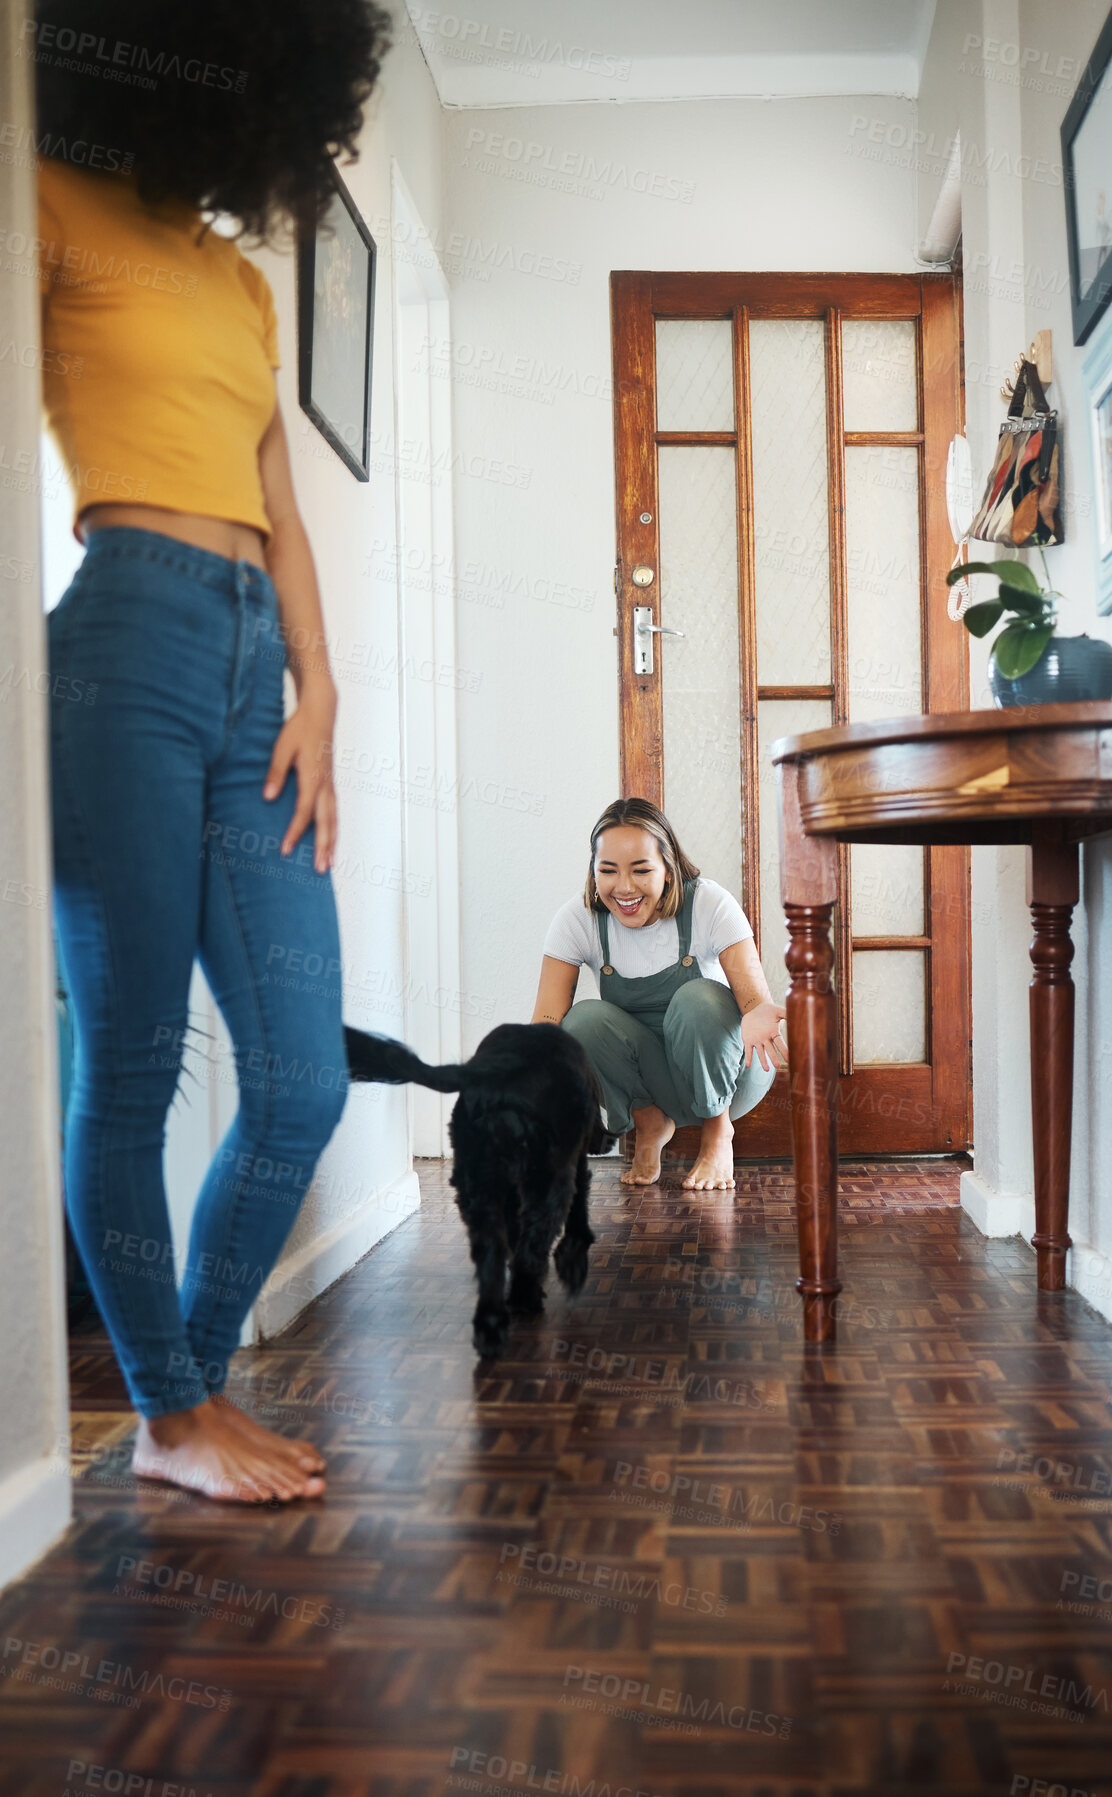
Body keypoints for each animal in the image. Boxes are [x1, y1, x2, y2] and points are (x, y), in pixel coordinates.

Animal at [343, 1020, 614, 1351]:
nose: (610, 1139)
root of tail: (497, 1069)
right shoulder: (572, 1165)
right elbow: (577, 1215)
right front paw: (573, 1262)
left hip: (477, 1186)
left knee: (491, 1253)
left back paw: (491, 1326)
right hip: (546, 1181)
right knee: (531, 1248)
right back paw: (525, 1300)